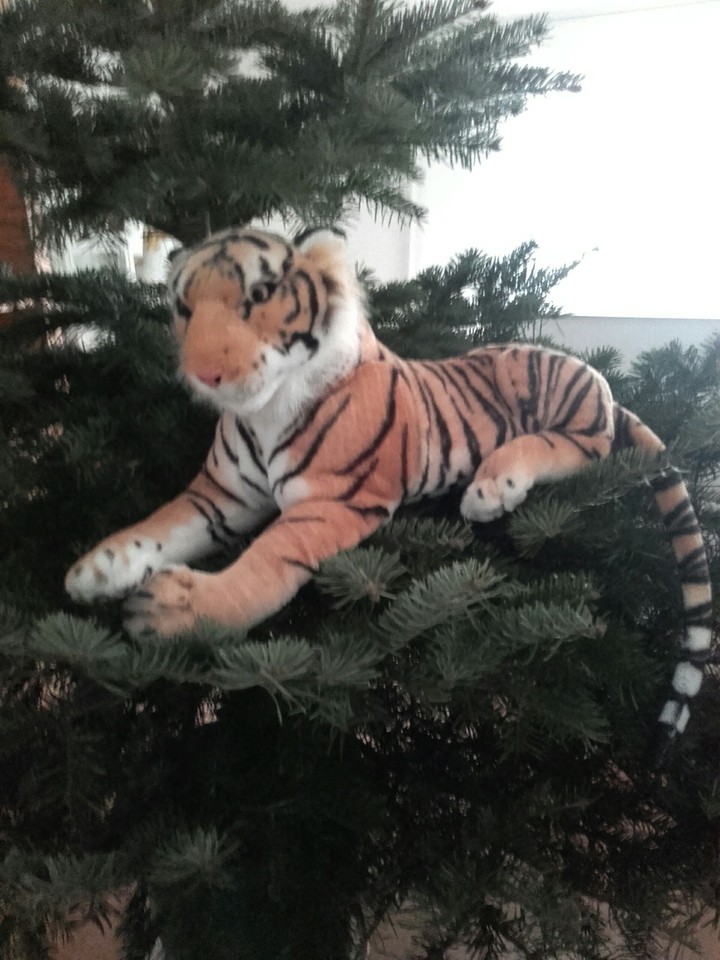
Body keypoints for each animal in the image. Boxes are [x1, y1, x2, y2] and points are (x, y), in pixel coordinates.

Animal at [65, 225, 713, 745]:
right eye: (183, 308)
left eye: (258, 297)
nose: (204, 374)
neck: (263, 412)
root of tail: (597, 378)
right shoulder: (220, 495)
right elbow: (161, 524)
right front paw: (98, 568)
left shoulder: (332, 501)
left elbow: (264, 562)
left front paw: (177, 611)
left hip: (556, 401)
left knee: (584, 447)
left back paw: (493, 486)